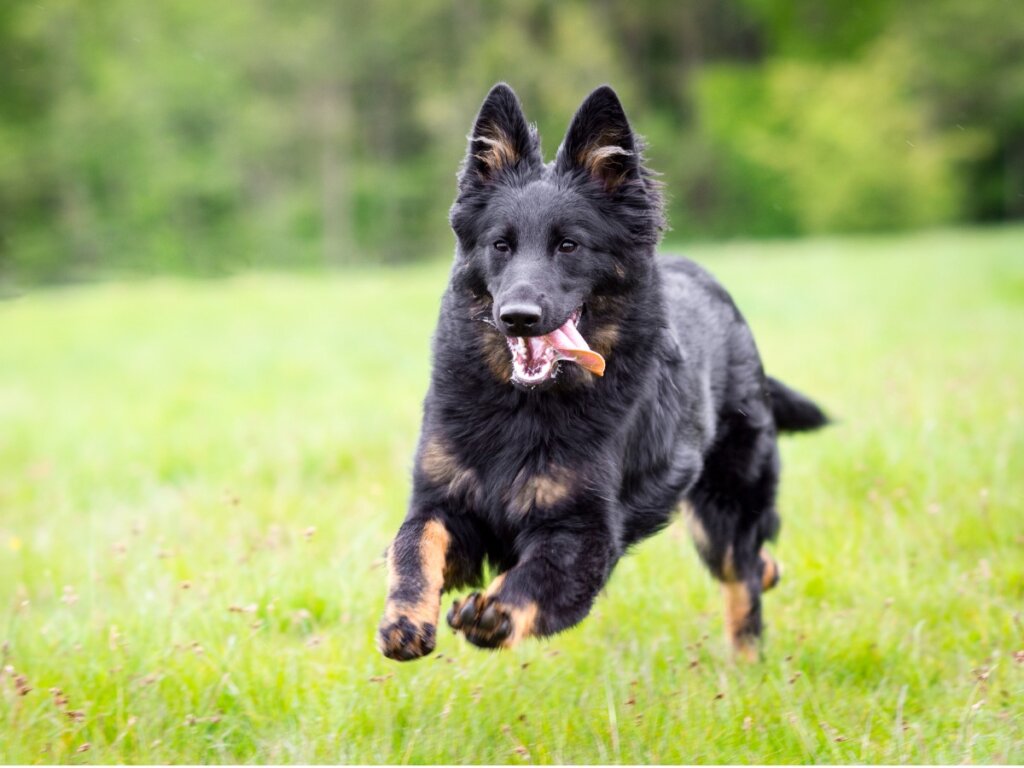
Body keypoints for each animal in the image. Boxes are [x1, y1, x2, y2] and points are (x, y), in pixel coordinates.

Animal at [376, 82, 823, 663]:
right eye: (501, 245)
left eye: (569, 245)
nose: (517, 316)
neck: (523, 406)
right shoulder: (445, 501)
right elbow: (413, 542)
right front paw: (404, 618)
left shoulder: (586, 529)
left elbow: (540, 575)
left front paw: (496, 613)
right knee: (756, 562)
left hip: (723, 508)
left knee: (742, 575)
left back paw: (747, 661)